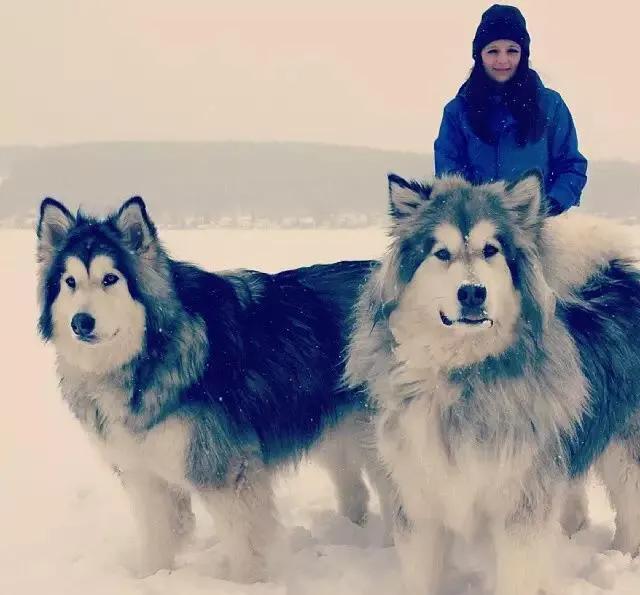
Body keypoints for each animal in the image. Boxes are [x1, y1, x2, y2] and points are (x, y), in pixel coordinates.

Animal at [37, 196, 392, 584]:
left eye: (110, 279)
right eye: (70, 281)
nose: (81, 322)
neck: (147, 355)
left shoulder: (226, 471)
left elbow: (246, 546)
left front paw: (249, 585)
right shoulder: (143, 474)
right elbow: (156, 539)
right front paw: (150, 578)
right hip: (332, 430)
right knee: (355, 491)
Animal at [348, 172, 640, 595]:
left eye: (491, 250)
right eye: (441, 253)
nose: (472, 292)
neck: (462, 377)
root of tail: (619, 281)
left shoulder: (519, 508)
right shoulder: (420, 499)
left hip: (624, 455)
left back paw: (623, 558)